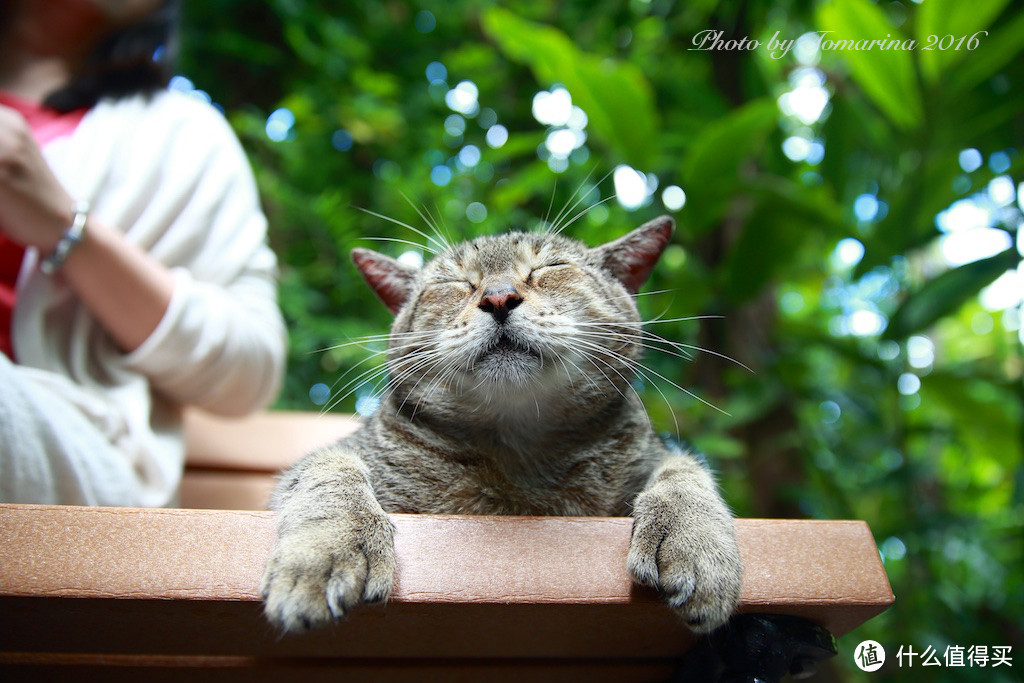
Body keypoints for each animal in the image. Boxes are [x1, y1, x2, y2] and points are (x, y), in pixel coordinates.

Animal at [262, 216, 745, 634]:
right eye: (454, 283)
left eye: (550, 268)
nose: (497, 297)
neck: (519, 450)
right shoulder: (336, 459)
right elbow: (331, 471)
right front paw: (329, 547)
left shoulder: (654, 455)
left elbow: (684, 472)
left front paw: (695, 539)